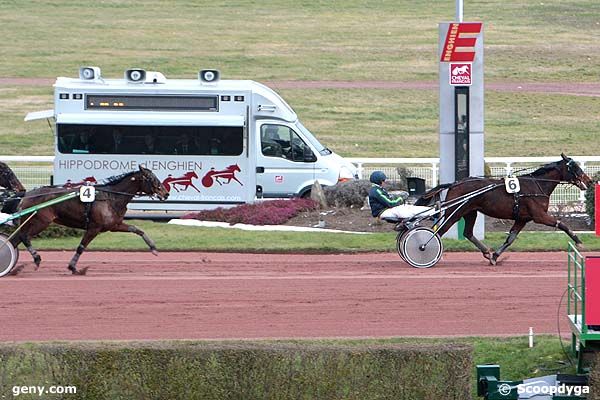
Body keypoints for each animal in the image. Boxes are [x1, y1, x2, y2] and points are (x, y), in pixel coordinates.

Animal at [394, 153, 592, 268]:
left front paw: (495, 256)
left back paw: (486, 252)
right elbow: (562, 224)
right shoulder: (539, 216)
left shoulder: (523, 218)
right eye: (574, 167)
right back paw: (425, 248)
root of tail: (455, 183)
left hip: (470, 212)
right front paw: (579, 241)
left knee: (467, 233)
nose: (590, 181)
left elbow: (510, 238)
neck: (537, 185)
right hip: (456, 212)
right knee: (439, 232)